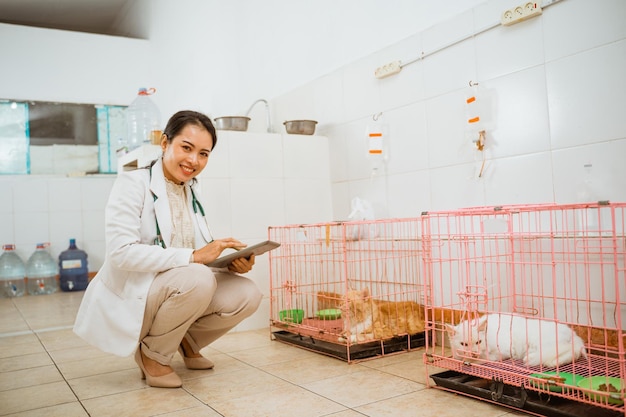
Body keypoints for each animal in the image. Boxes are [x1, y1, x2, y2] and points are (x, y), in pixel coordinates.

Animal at [444, 312, 584, 368]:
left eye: (479, 342)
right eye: (463, 344)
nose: (473, 353)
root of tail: (573, 334)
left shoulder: (504, 351)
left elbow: (485, 358)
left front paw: (472, 360)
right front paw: (467, 359)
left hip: (539, 342)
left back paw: (532, 359)